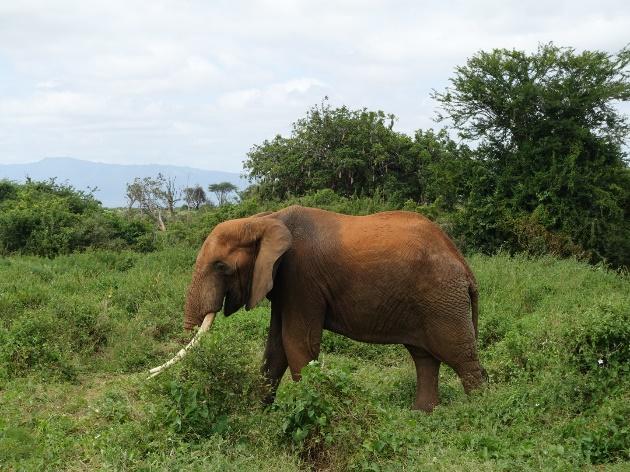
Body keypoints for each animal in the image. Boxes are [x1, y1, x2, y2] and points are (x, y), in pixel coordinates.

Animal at [173, 205, 484, 412]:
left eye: (221, 266)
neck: (263, 220)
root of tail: (464, 265)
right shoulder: (284, 282)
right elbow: (275, 348)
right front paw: (259, 415)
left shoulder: (301, 276)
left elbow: (297, 343)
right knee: (425, 357)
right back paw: (421, 414)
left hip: (443, 299)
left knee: (460, 357)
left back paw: (478, 413)